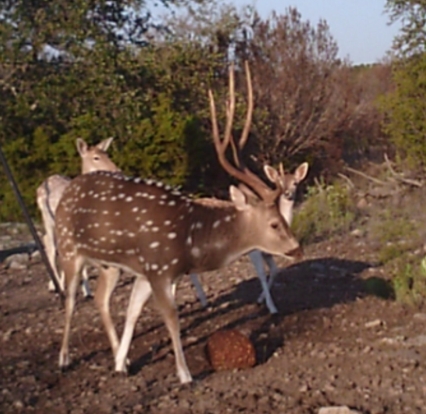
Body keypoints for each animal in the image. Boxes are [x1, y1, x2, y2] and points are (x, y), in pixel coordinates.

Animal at [35, 137, 120, 298]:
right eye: (96, 157)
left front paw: (87, 290)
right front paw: (83, 290)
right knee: (49, 243)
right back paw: (55, 287)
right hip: (47, 217)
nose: (117, 171)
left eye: (107, 154)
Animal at [55, 62, 302, 384]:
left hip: (109, 265)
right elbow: (171, 318)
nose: (297, 248)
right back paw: (63, 359)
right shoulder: (159, 268)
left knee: (100, 299)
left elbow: (133, 312)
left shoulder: (146, 271)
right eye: (274, 223)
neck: (191, 241)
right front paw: (184, 374)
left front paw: (121, 364)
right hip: (67, 248)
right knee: (71, 299)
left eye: (283, 219)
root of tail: (66, 191)